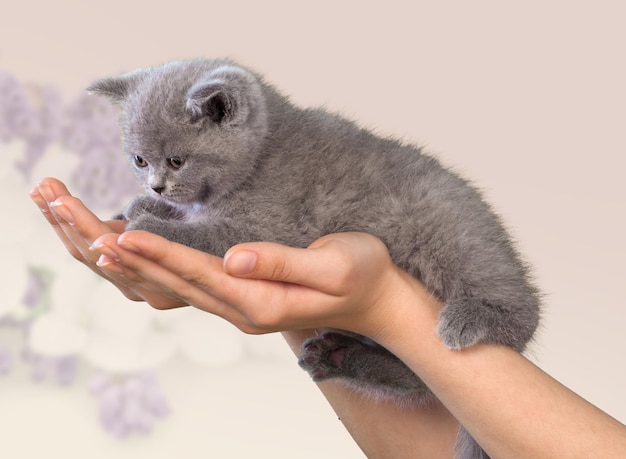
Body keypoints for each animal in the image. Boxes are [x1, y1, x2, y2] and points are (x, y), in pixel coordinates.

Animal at [89, 58, 540, 459]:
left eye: (177, 161)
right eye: (140, 160)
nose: (157, 186)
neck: (262, 155)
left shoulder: (270, 230)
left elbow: (206, 233)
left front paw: (149, 225)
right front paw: (142, 207)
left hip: (453, 237)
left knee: (516, 309)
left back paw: (470, 319)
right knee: (423, 381)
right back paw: (340, 357)